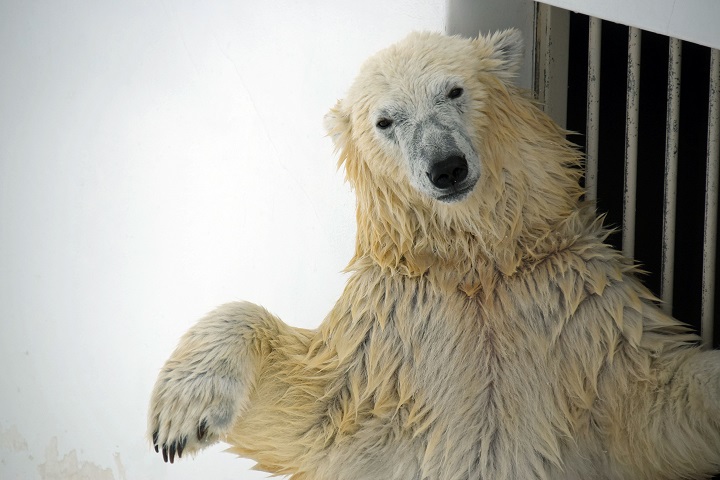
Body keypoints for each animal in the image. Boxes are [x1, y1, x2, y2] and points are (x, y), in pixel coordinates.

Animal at [148, 31, 720, 480]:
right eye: (385, 121)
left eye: (454, 89)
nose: (446, 167)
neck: (480, 271)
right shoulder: (389, 343)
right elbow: (309, 414)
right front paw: (182, 417)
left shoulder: (585, 318)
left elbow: (663, 402)